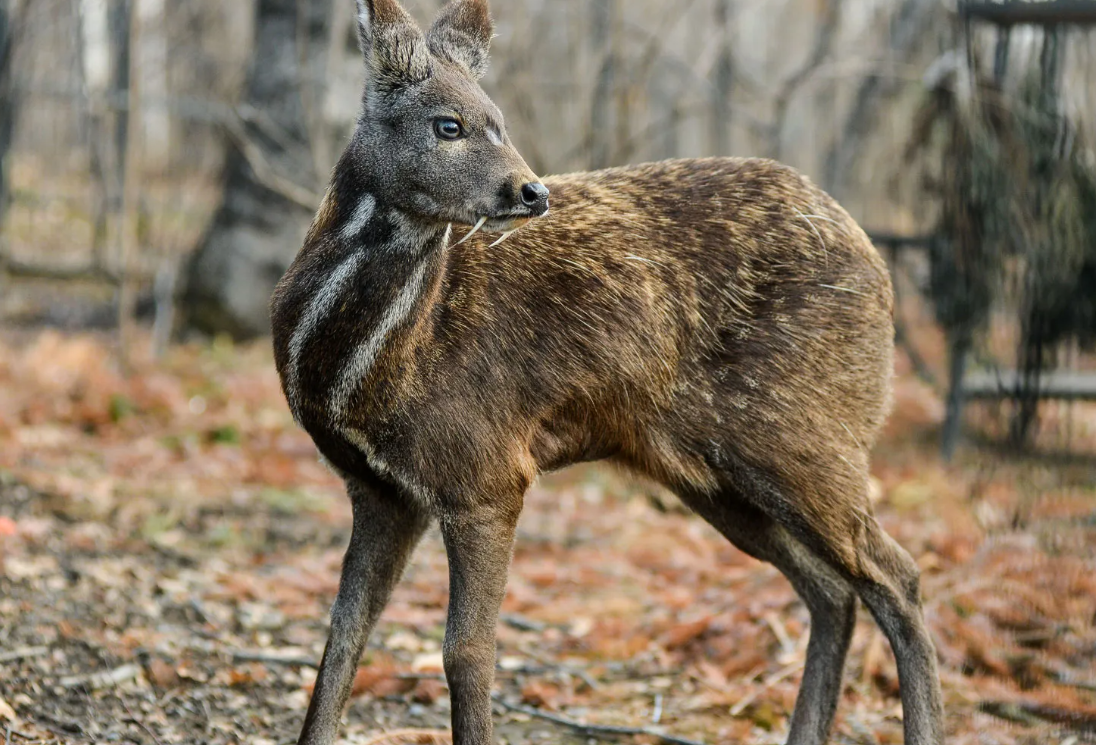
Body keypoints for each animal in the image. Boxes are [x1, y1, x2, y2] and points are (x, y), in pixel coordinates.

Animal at [270, 1, 946, 743]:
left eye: (498, 119)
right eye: (448, 124)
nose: (530, 191)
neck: (365, 371)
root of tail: (878, 265)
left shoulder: (487, 471)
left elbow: (467, 652)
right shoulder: (381, 490)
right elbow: (342, 638)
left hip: (805, 434)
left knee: (900, 577)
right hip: (713, 474)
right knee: (833, 592)